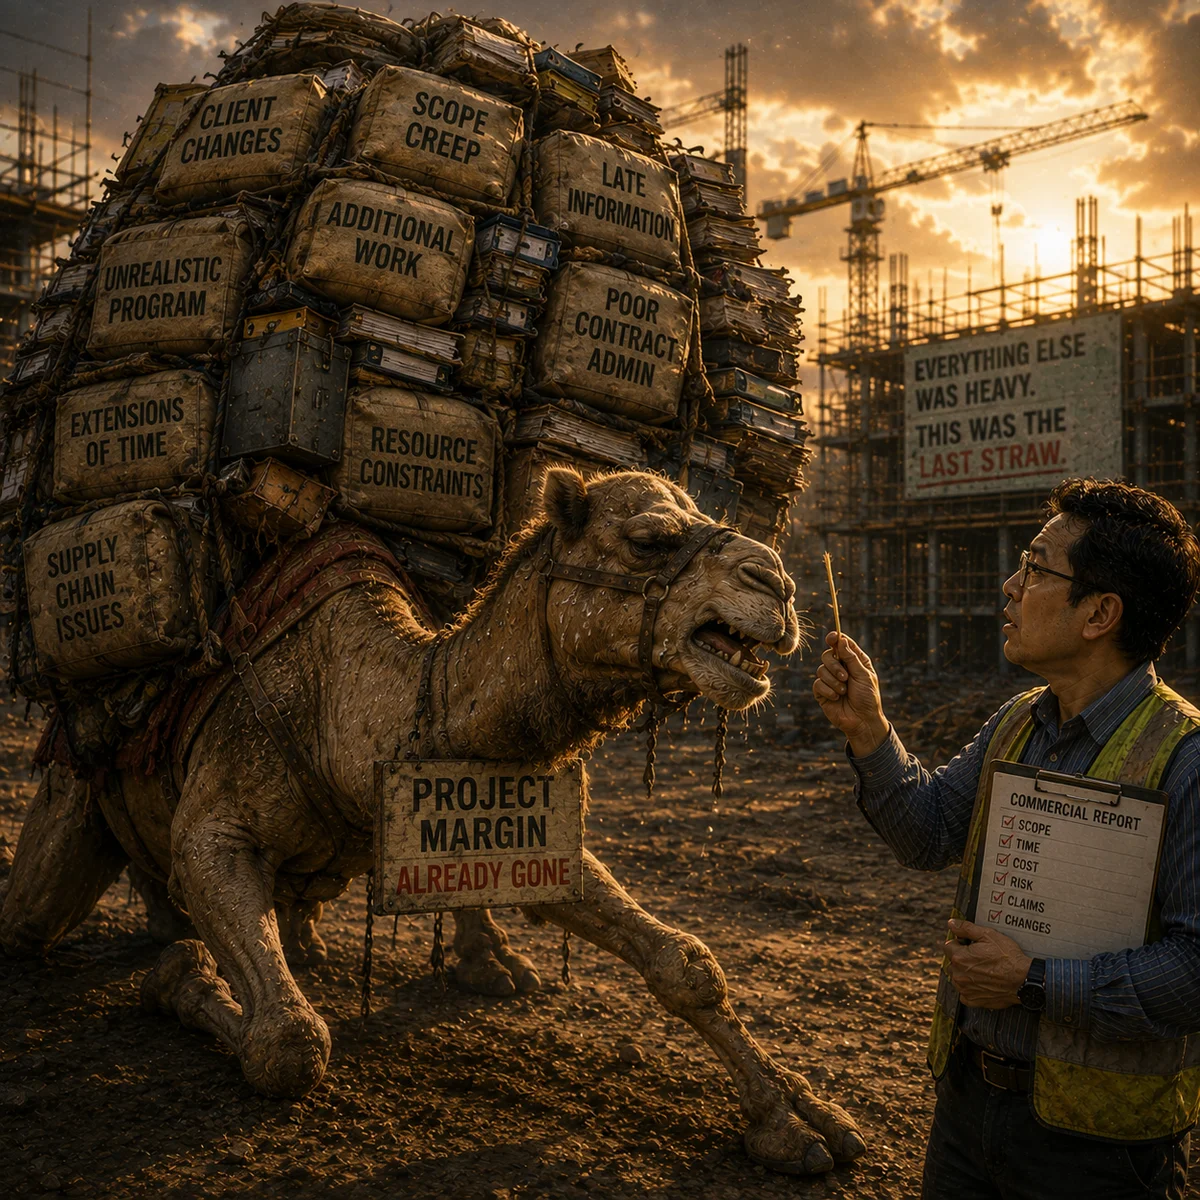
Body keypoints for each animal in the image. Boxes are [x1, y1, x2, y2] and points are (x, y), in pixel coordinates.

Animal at [0, 468, 865, 1175]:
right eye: (648, 538)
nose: (779, 585)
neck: (353, 710)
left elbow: (684, 961)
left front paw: (800, 1119)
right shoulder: (215, 823)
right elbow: (288, 1044)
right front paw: (189, 980)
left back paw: (456, 960)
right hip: (70, 801)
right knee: (33, 919)